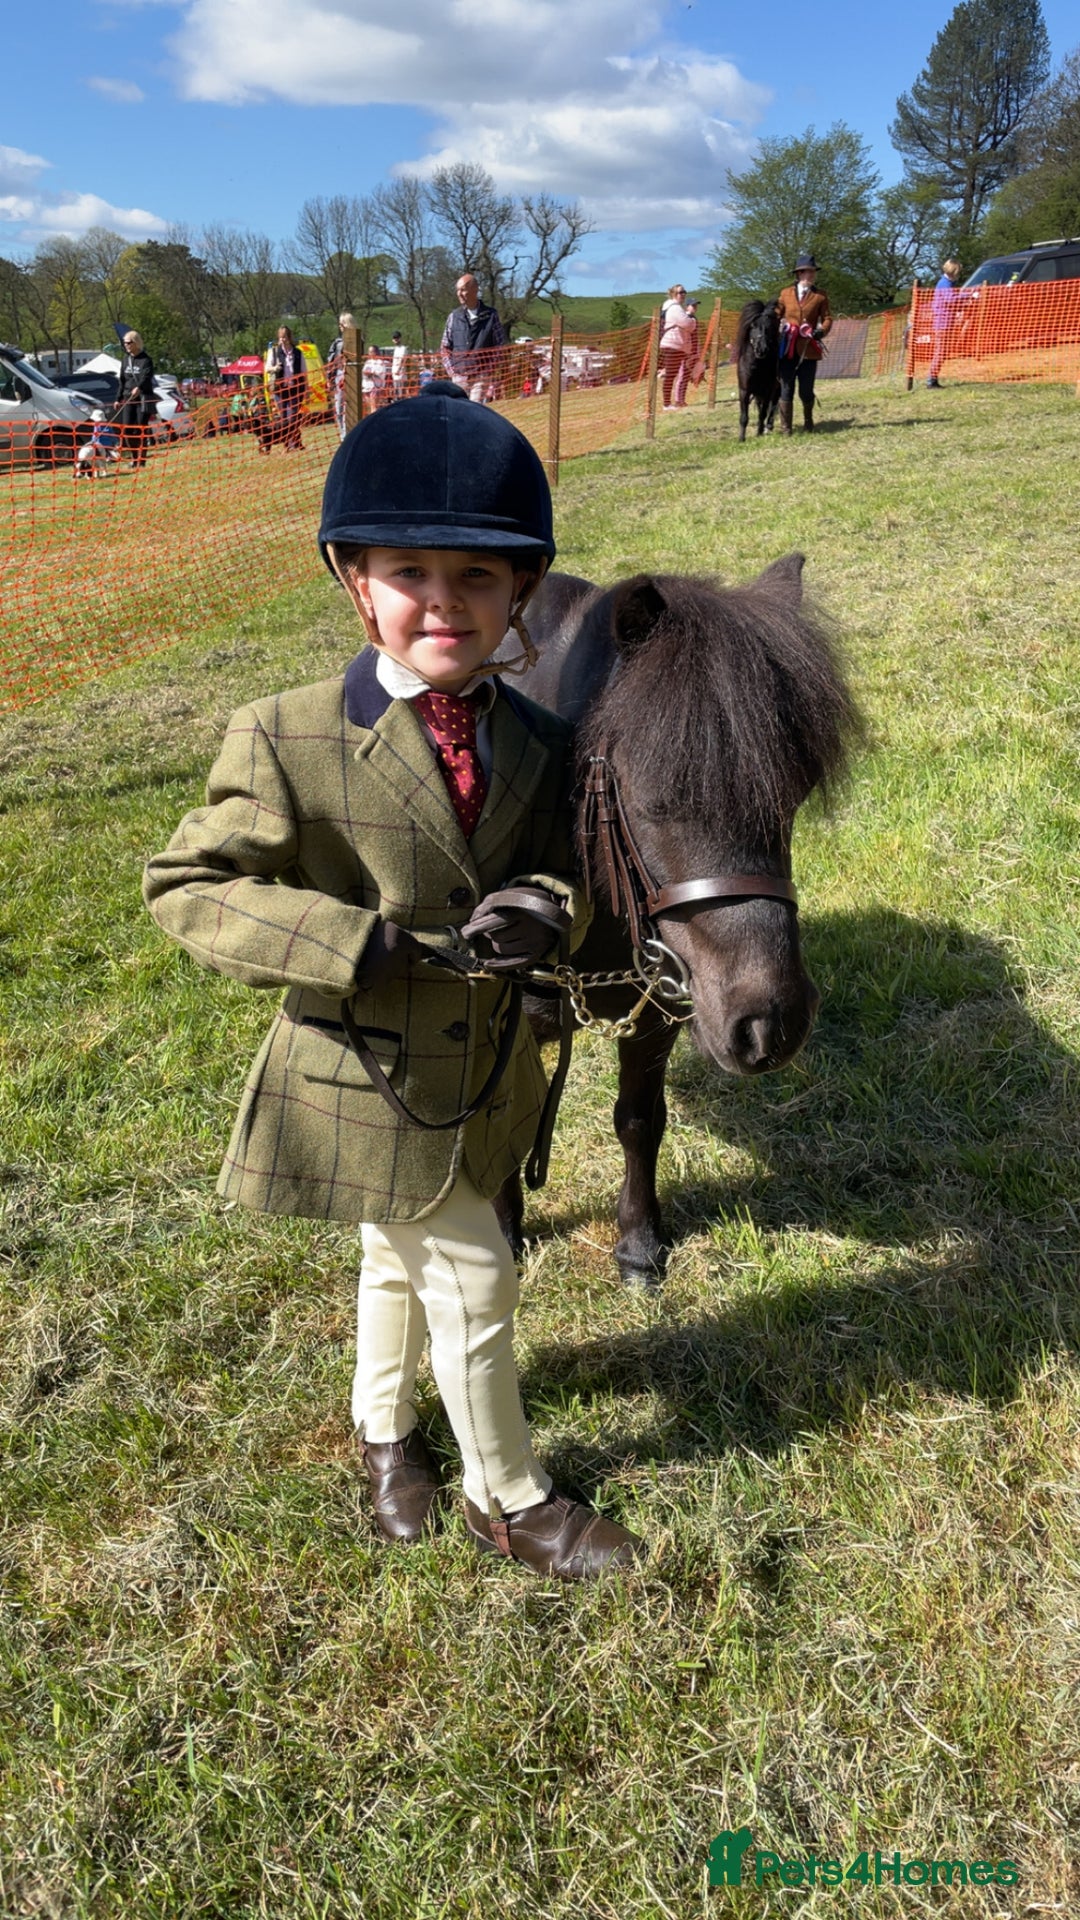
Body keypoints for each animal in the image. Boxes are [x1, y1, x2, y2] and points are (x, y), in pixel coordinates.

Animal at [495, 556, 860, 1285]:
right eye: (651, 800)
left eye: (794, 796)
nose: (772, 1023)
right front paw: (502, 1235)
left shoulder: (657, 1009)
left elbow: (639, 1120)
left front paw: (638, 1243)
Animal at [735, 300, 781, 440]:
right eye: (752, 325)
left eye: (770, 327)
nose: (761, 349)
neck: (757, 368)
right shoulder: (744, 391)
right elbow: (744, 416)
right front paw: (741, 438)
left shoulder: (767, 391)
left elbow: (763, 413)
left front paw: (759, 432)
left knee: (773, 406)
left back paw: (768, 427)